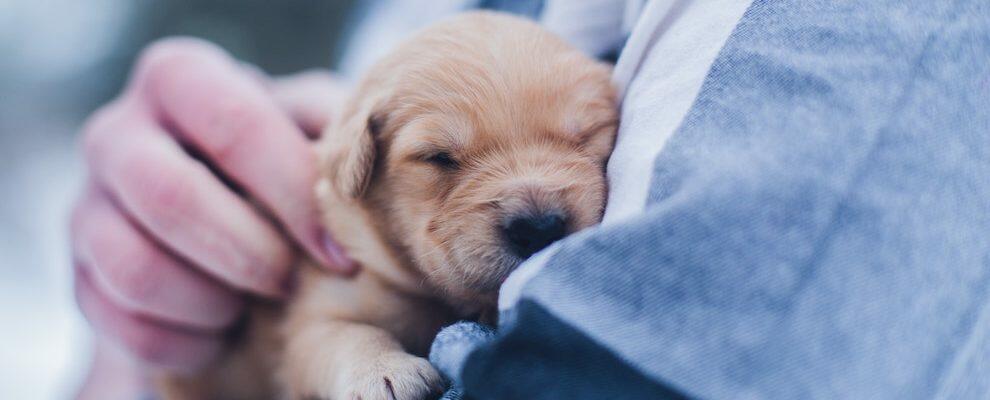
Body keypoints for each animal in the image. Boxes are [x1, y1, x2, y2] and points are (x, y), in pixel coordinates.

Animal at [159, 10, 616, 398]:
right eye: (439, 157)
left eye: (585, 136)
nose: (538, 228)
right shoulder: (318, 309)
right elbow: (344, 335)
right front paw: (384, 372)